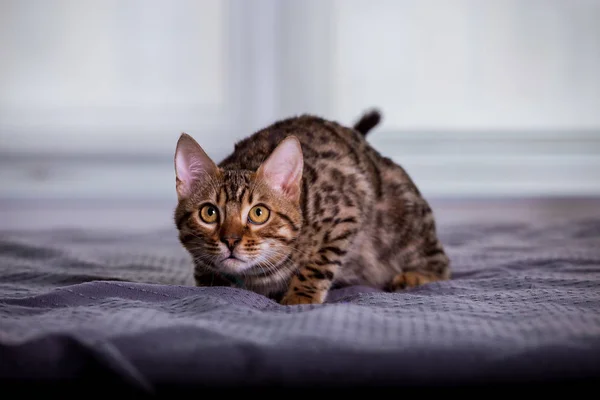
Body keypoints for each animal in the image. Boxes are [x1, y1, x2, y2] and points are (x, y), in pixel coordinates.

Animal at [173, 108, 450, 304]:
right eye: (209, 213)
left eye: (258, 213)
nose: (230, 240)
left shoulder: (348, 209)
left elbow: (319, 262)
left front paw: (300, 297)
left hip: (402, 221)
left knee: (441, 263)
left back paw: (415, 276)